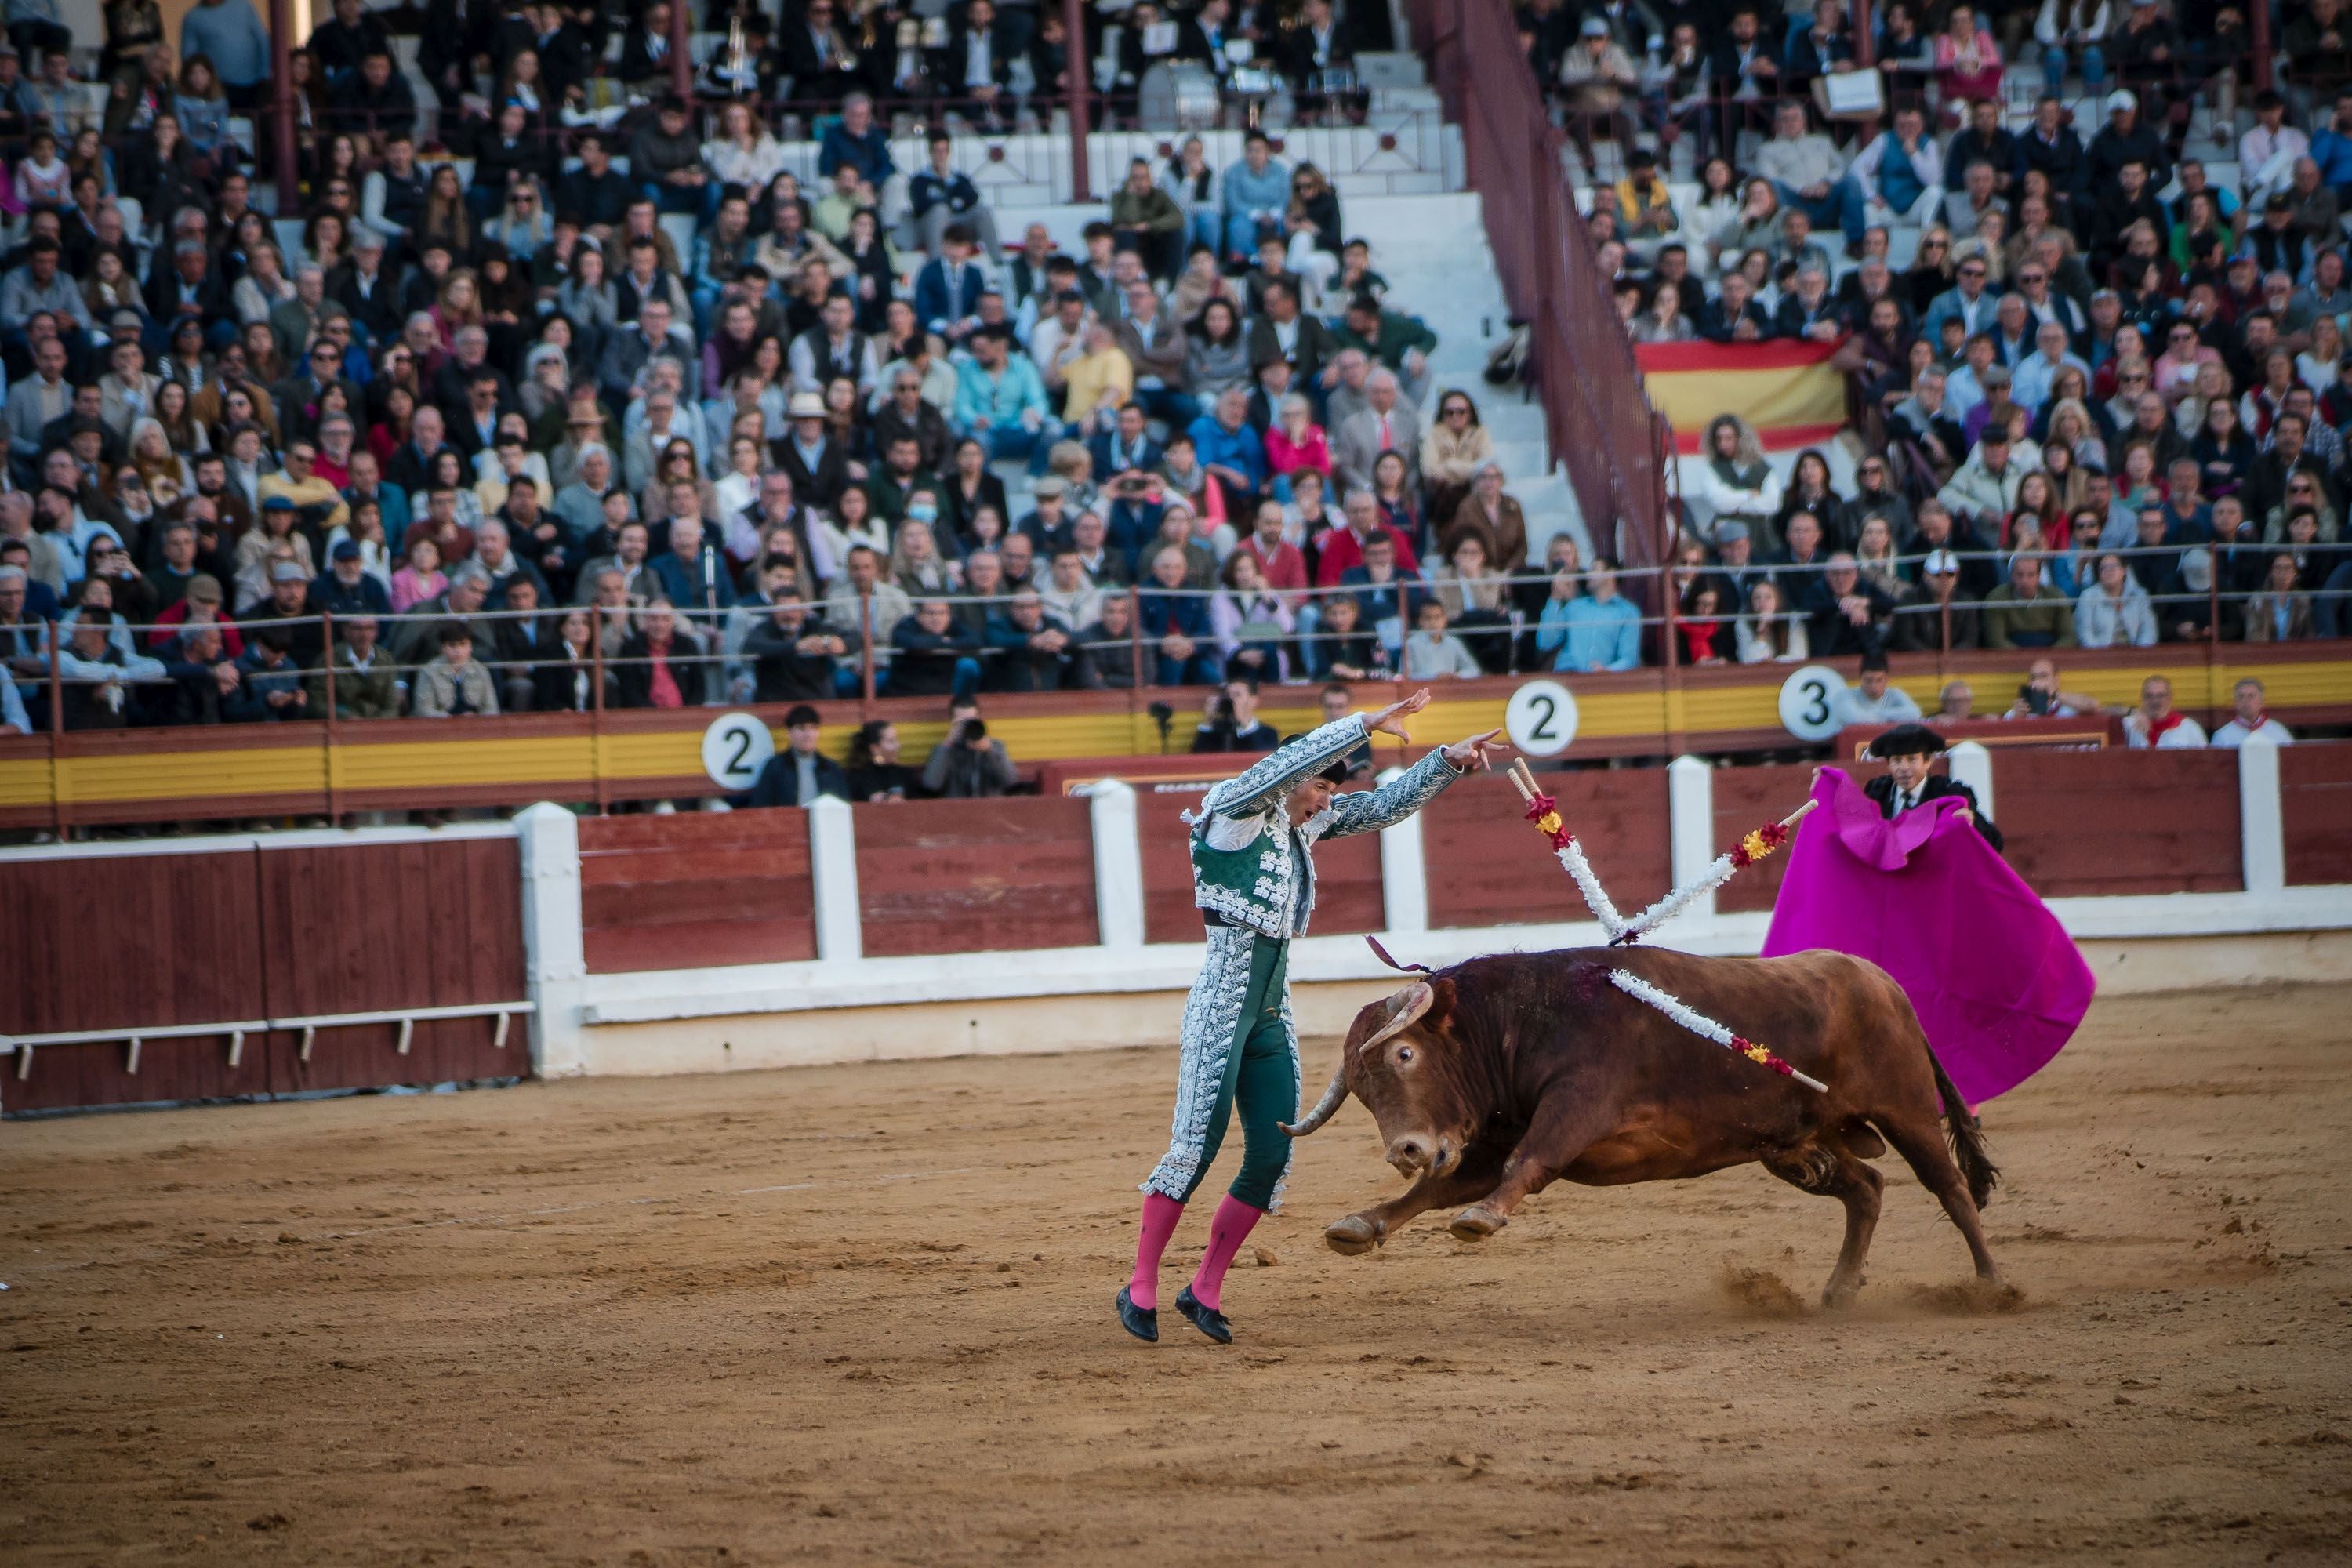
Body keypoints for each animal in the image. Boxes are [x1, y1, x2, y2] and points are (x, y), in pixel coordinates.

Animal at [1289, 940, 2004, 1307]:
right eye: (1360, 1090)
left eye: (1405, 1055)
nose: (1405, 1149)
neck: (1519, 1021)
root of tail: (1884, 982)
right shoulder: (1494, 1137)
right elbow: (1436, 1189)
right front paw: (1360, 1226)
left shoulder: (1576, 1107)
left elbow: (1526, 1164)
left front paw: (1482, 1219)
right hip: (1794, 1146)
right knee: (1866, 1189)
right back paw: (1839, 1289)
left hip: (1905, 1108)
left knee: (1950, 1188)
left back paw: (1993, 1284)